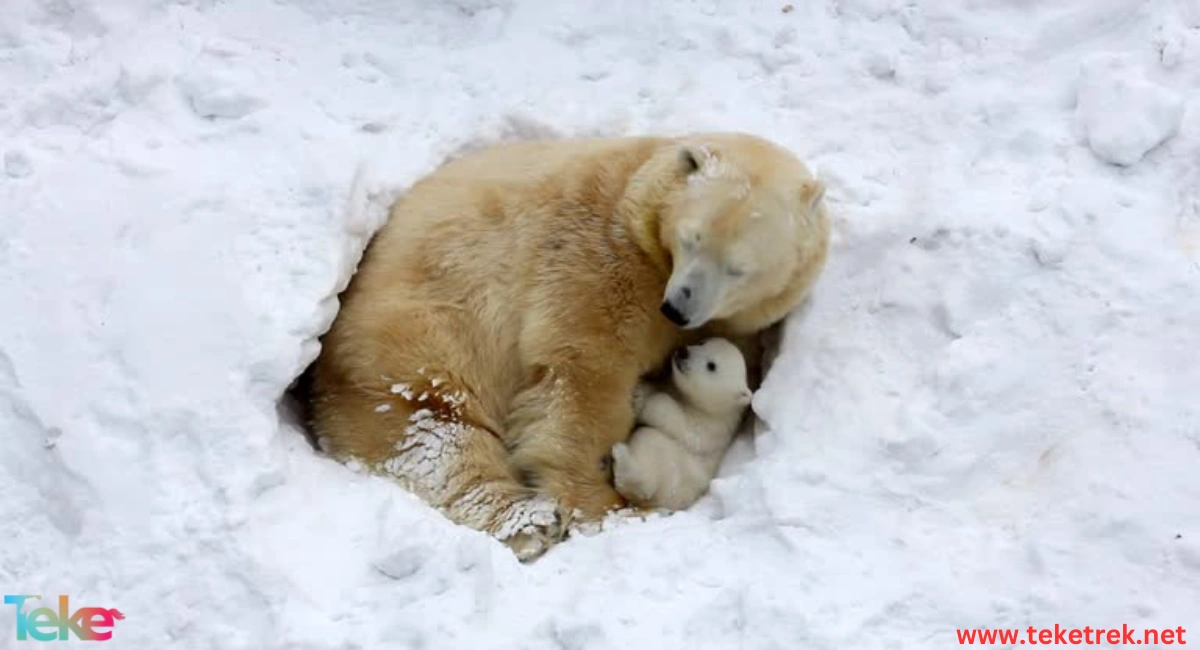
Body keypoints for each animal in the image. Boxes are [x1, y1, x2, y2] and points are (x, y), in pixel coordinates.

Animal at [609, 338, 748, 513]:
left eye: (711, 365)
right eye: (703, 342)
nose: (683, 352)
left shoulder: (715, 426)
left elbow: (688, 431)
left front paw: (640, 397)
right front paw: (646, 387)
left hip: (673, 475)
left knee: (649, 444)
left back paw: (621, 455)